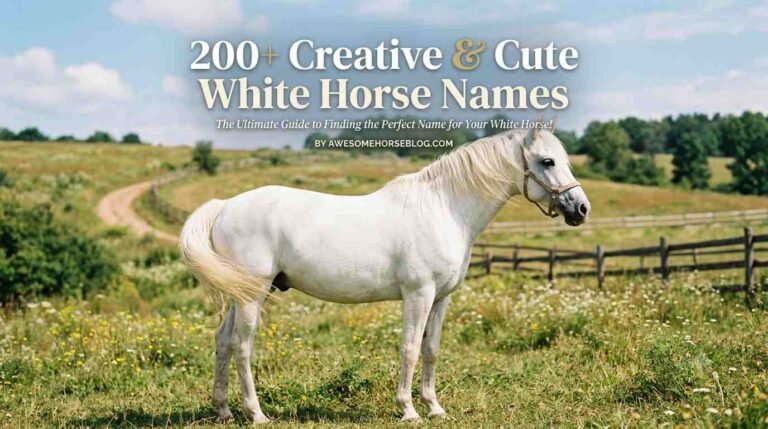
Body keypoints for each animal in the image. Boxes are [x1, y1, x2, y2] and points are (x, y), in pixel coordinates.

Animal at [179, 127, 590, 423]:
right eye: (548, 161)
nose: (581, 209)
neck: (444, 209)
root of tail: (224, 207)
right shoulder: (418, 294)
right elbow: (409, 349)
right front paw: (408, 410)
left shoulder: (441, 298)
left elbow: (431, 349)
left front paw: (435, 407)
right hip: (252, 296)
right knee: (242, 347)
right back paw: (257, 414)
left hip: (244, 294)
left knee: (223, 342)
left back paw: (223, 410)